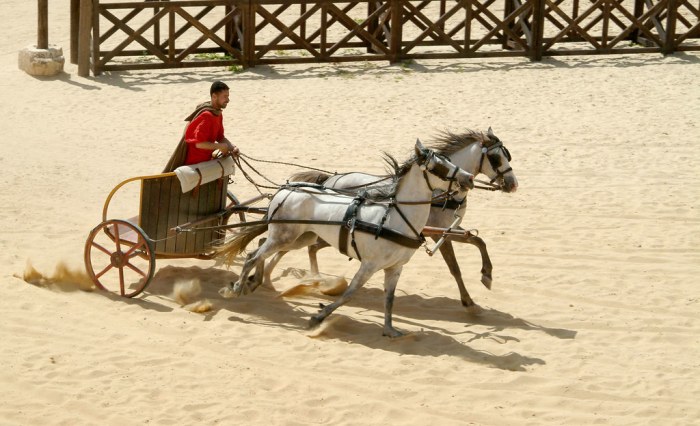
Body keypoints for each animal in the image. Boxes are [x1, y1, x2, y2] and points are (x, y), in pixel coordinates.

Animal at [216, 140, 474, 336]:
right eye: (439, 166)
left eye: (450, 161)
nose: (469, 178)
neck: (395, 218)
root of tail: (285, 190)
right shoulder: (370, 265)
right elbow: (349, 294)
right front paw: (319, 316)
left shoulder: (395, 268)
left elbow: (389, 299)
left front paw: (390, 329)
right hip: (284, 237)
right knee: (252, 255)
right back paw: (236, 288)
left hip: (299, 237)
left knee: (261, 247)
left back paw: (255, 281)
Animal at [274, 126, 520, 312]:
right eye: (496, 157)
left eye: (507, 155)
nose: (513, 184)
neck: (439, 193)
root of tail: (330, 180)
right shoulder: (438, 233)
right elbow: (455, 267)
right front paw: (469, 299)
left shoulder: (444, 230)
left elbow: (477, 240)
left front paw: (486, 275)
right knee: (302, 247)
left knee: (309, 247)